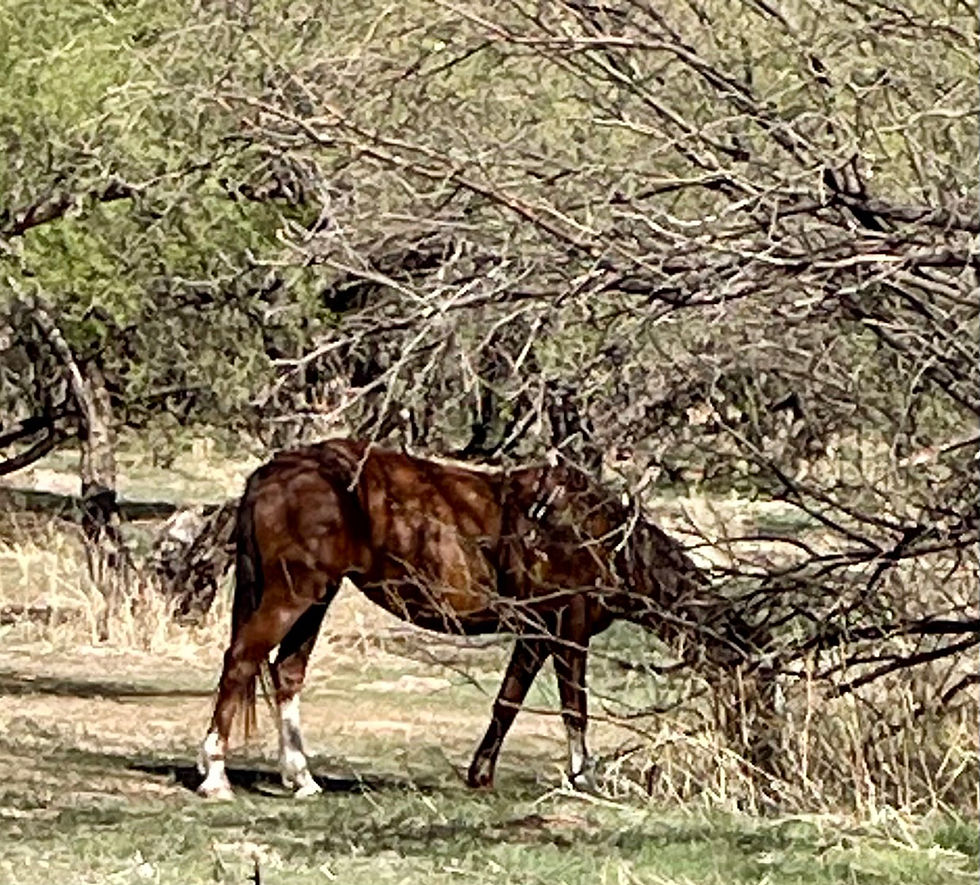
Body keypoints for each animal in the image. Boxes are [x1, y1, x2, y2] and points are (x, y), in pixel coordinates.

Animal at [197, 438, 764, 799]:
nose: (754, 751)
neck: (596, 535)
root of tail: (273, 473)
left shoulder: (536, 634)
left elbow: (506, 703)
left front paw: (481, 775)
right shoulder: (567, 627)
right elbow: (574, 708)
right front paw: (583, 779)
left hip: (317, 597)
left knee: (286, 673)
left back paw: (302, 778)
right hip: (293, 594)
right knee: (241, 661)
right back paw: (216, 776)